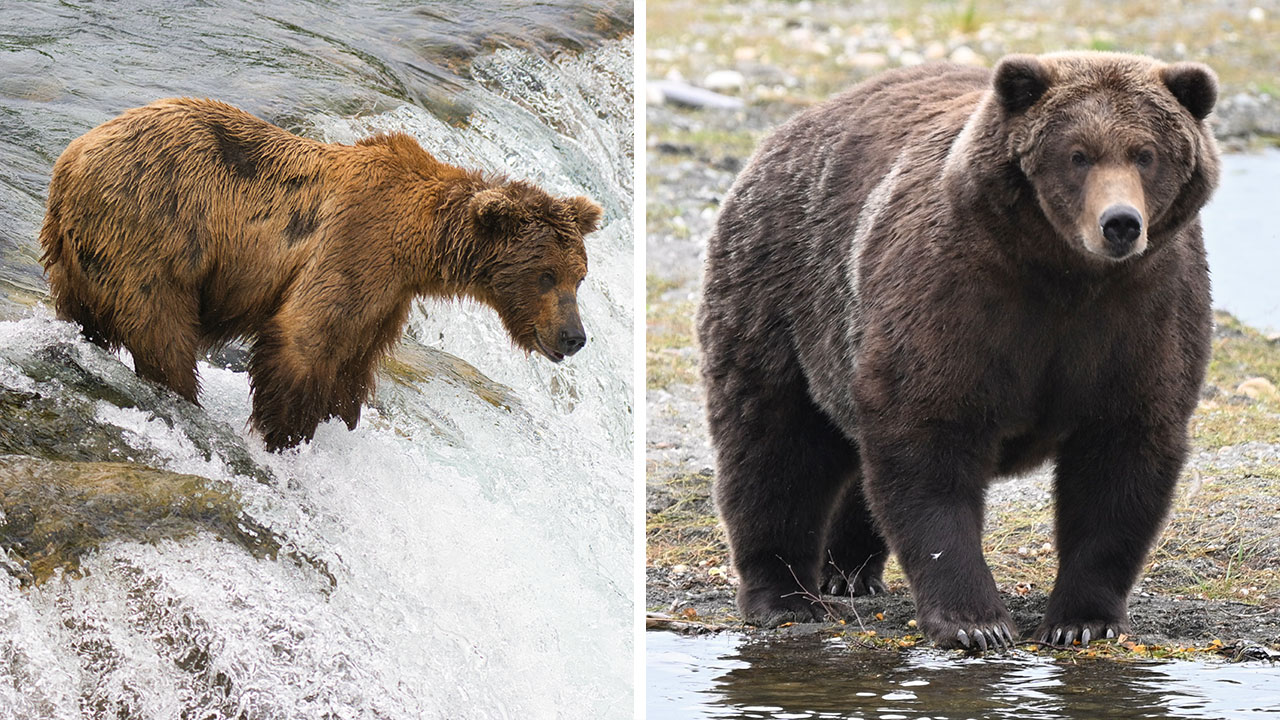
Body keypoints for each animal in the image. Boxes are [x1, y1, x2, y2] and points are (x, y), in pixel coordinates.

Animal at [39, 97, 602, 451]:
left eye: (579, 277)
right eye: (546, 275)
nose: (573, 336)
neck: (418, 243)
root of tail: (69, 161)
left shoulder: (388, 295)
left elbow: (354, 361)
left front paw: (339, 418)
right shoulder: (356, 245)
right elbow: (304, 339)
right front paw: (285, 434)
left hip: (78, 260)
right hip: (155, 233)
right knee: (163, 332)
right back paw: (182, 397)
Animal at [697, 52, 1219, 650]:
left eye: (1145, 154)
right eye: (1077, 154)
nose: (1120, 224)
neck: (1065, 275)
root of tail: (784, 133)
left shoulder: (1143, 313)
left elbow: (1122, 458)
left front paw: (1082, 621)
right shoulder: (957, 296)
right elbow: (929, 440)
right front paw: (977, 622)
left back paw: (848, 571)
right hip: (782, 295)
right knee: (773, 444)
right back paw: (784, 597)